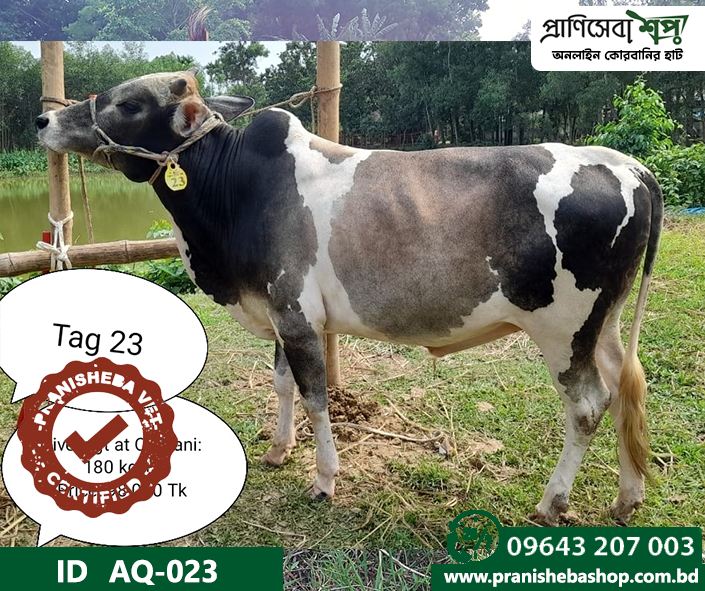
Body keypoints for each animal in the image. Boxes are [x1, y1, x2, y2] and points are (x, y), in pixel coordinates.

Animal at [36, 69, 663, 526]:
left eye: (127, 104)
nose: (43, 118)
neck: (234, 191)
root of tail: (628, 165)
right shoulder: (281, 312)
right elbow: (282, 384)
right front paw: (277, 451)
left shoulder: (296, 314)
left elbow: (316, 398)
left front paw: (323, 479)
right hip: (601, 325)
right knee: (628, 388)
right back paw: (627, 497)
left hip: (564, 329)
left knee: (588, 405)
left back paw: (552, 503)